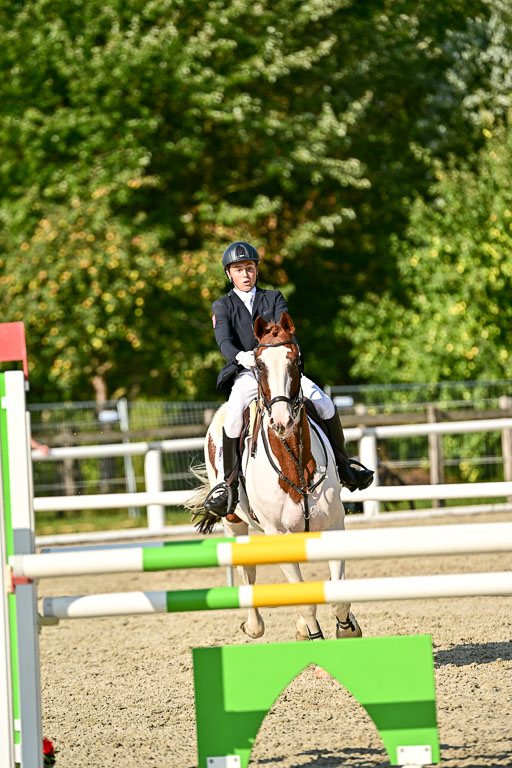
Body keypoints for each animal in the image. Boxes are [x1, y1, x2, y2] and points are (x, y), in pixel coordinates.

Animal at [190, 311, 362, 643]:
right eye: (259, 364)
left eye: (295, 360)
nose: (282, 422)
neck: (295, 464)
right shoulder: (278, 535)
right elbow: (306, 601)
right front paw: (312, 635)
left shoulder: (333, 526)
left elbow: (337, 595)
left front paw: (347, 629)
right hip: (234, 523)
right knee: (246, 571)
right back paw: (254, 625)